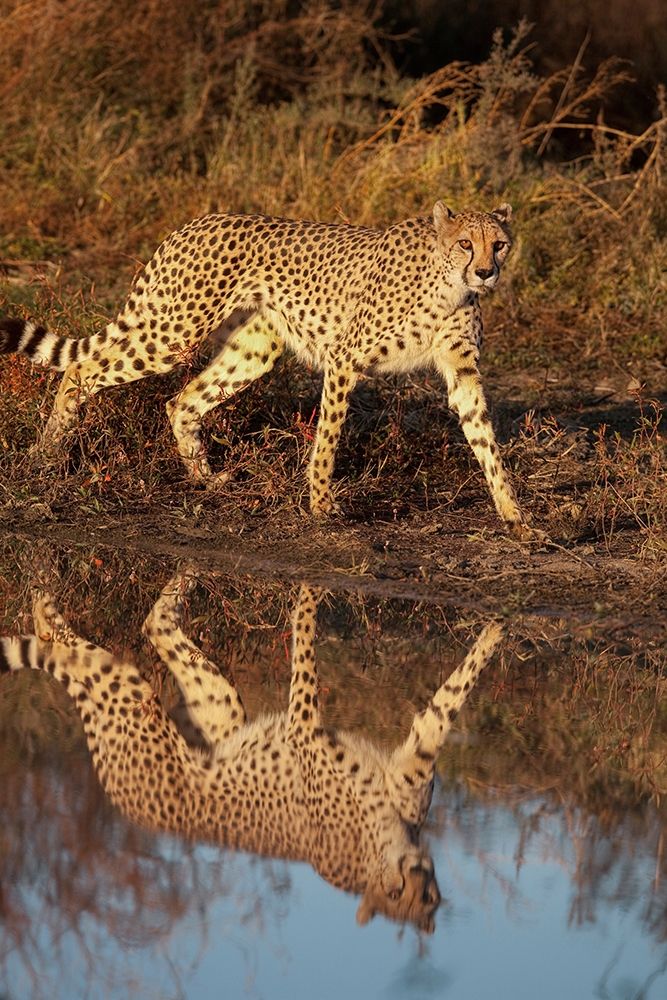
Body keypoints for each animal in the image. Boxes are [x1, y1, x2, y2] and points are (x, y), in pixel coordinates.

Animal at [0, 203, 531, 535]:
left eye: (499, 244)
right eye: (465, 244)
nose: (486, 272)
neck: (448, 284)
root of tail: (193, 223)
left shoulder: (463, 374)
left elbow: (485, 440)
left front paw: (515, 516)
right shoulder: (344, 358)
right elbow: (328, 438)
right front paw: (320, 504)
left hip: (254, 348)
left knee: (182, 400)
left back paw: (205, 479)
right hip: (173, 331)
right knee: (82, 371)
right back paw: (47, 453)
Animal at [0, 567, 504, 933]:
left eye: (426, 898)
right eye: (396, 895)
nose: (417, 879)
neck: (382, 847)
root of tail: (120, 797)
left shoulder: (413, 760)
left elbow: (449, 700)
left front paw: (496, 628)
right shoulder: (304, 728)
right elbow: (305, 640)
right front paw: (308, 596)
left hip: (219, 704)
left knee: (152, 626)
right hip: (129, 692)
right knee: (81, 649)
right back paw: (46, 608)